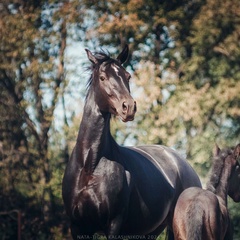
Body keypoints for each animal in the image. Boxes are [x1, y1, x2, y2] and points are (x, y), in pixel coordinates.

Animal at [62, 45, 201, 240]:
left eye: (127, 76)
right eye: (102, 77)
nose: (128, 107)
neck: (90, 166)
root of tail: (184, 164)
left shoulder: (113, 224)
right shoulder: (77, 226)